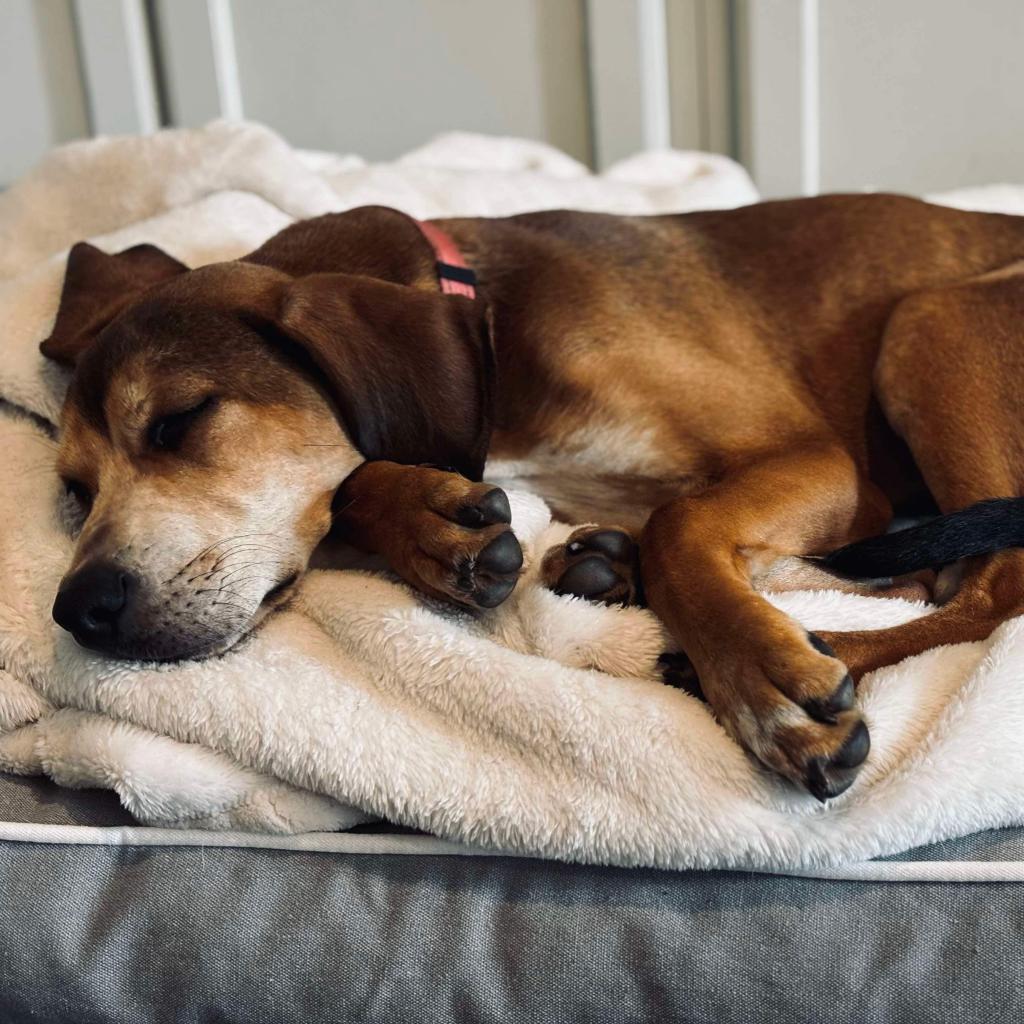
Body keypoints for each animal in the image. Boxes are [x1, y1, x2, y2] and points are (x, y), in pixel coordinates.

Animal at [41, 199, 1024, 798]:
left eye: (179, 421)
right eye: (75, 488)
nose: (80, 608)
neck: (492, 333)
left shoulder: (820, 462)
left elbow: (682, 525)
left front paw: (759, 675)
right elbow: (356, 477)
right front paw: (429, 524)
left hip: (928, 319)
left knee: (991, 592)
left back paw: (824, 644)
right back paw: (624, 570)